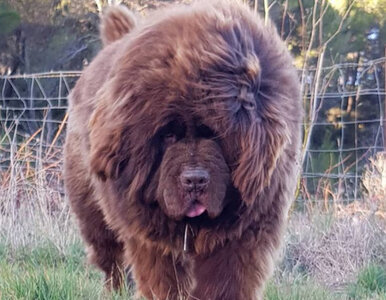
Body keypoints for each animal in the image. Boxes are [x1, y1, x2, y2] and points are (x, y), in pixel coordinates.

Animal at [64, 1, 302, 298]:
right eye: (168, 136)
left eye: (215, 135)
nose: (194, 180)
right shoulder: (152, 238)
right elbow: (166, 282)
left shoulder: (244, 234)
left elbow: (225, 283)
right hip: (92, 210)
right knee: (110, 257)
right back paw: (115, 289)